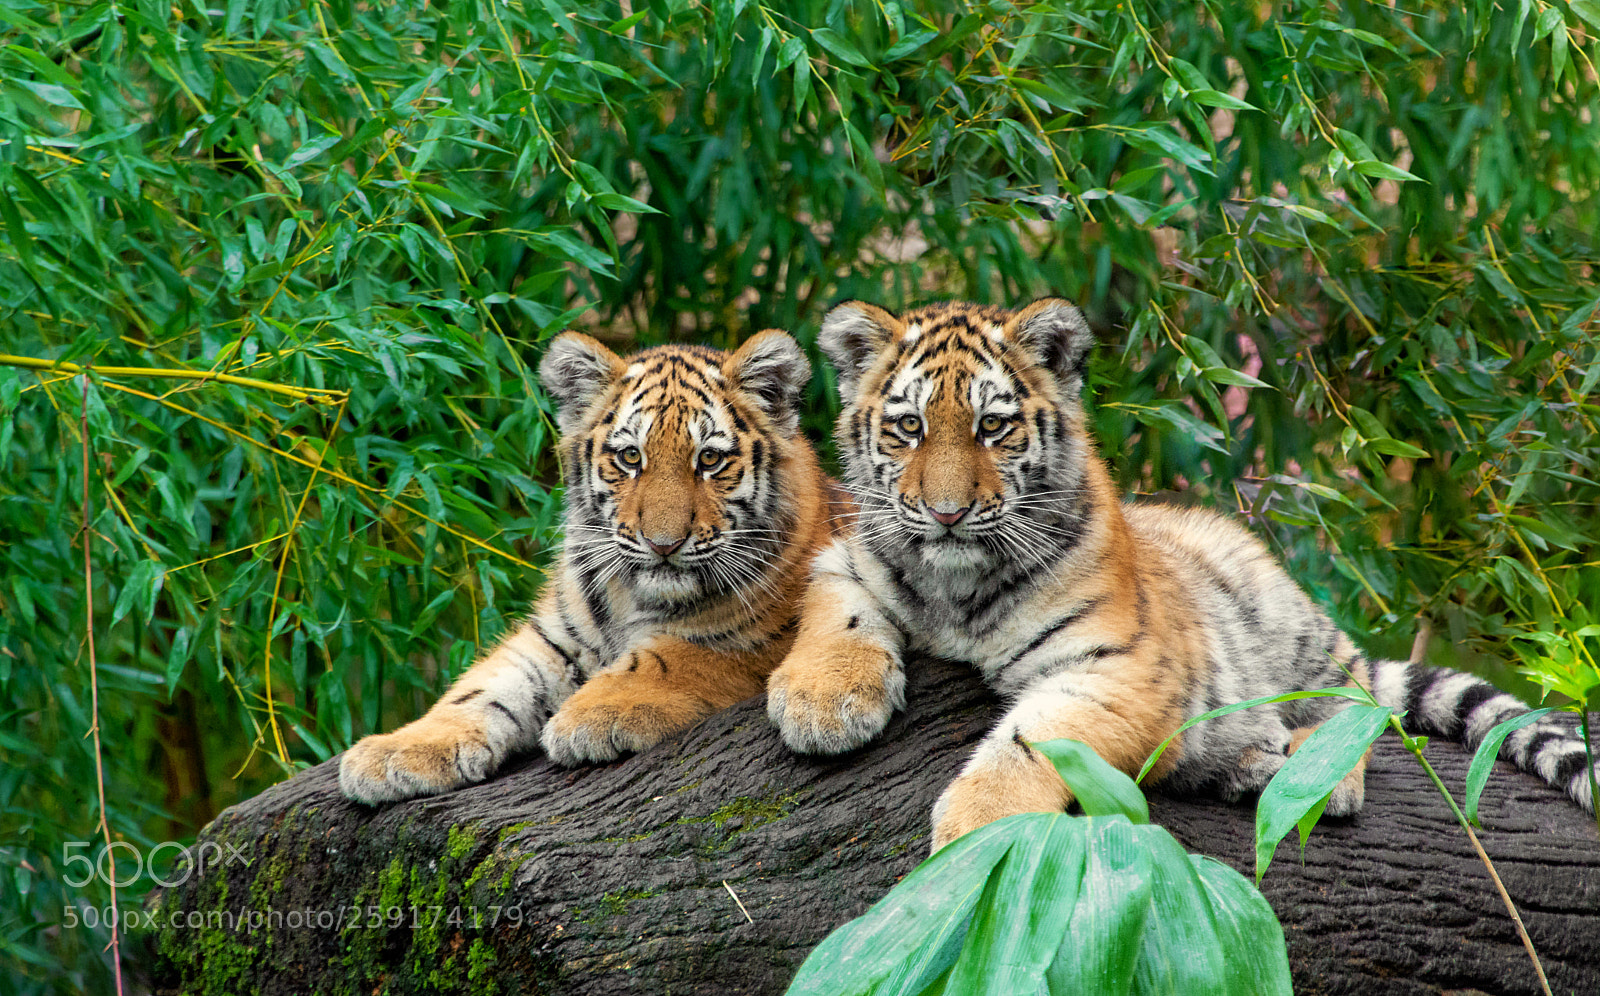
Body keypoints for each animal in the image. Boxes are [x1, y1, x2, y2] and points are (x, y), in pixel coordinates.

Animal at [340, 328, 843, 804]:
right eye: (630, 457)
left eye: (710, 459)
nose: (663, 544)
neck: (632, 596)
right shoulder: (553, 640)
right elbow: (480, 687)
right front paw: (394, 752)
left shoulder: (756, 643)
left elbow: (669, 659)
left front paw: (587, 718)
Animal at [765, 298, 1599, 851]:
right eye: (908, 427)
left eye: (992, 426)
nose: (944, 514)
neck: (954, 588)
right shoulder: (850, 554)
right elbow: (835, 607)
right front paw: (823, 702)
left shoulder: (1122, 667)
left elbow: (1029, 740)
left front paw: (978, 831)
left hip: (1286, 628)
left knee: (1353, 705)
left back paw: (1311, 775)